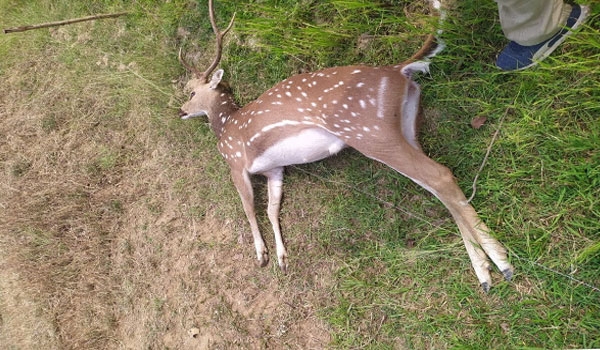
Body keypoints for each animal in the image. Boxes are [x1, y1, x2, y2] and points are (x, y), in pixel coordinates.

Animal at [178, 0, 510, 292]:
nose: (181, 111)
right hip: (406, 123)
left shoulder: (235, 161)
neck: (226, 125)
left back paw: (503, 262)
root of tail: (397, 69)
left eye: (191, 92)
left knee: (439, 174)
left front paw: (261, 256)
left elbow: (249, 208)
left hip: (367, 130)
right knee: (436, 185)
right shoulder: (275, 168)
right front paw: (282, 258)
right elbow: (272, 209)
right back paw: (484, 272)